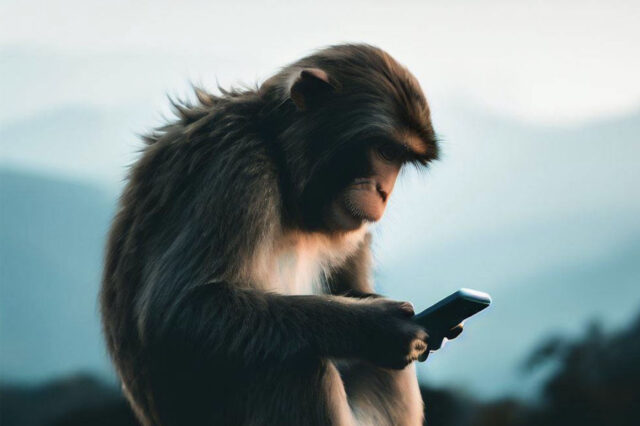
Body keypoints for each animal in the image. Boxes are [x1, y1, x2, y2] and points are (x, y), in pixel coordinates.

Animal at [100, 44, 462, 426]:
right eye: (386, 152)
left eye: (399, 159)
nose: (383, 193)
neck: (282, 163)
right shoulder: (239, 164)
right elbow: (179, 308)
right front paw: (377, 327)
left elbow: (349, 288)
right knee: (295, 363)